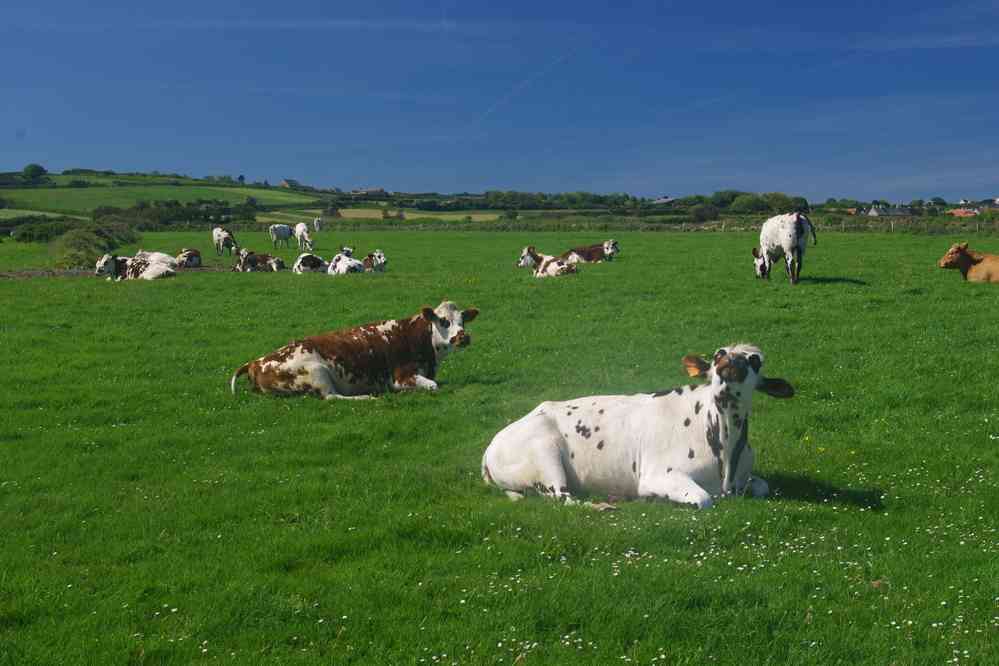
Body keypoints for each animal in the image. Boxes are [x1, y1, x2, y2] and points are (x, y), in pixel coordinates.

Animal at [229, 301, 479, 400]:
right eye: (444, 321)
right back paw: (366, 397)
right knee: (332, 397)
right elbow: (433, 386)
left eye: (463, 321)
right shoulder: (401, 377)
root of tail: (257, 362)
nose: (463, 336)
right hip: (317, 372)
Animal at [481, 343, 794, 509]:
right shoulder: (658, 475)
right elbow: (704, 499)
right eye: (719, 354)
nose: (728, 360)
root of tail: (490, 447)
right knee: (563, 498)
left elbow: (763, 486)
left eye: (755, 359)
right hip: (545, 456)